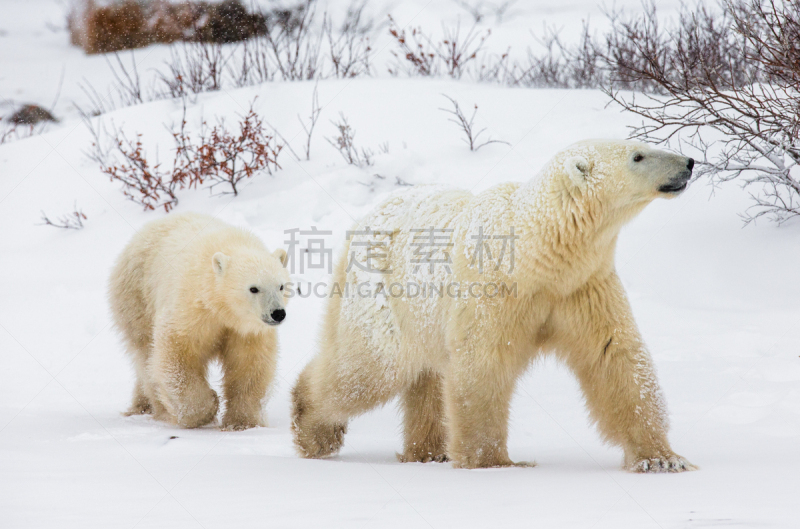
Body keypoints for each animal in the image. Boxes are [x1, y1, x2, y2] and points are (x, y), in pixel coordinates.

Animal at [292, 139, 692, 470]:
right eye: (638, 155)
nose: (688, 162)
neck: (539, 253)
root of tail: (366, 218)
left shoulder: (582, 287)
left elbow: (614, 355)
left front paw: (662, 459)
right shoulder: (495, 288)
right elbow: (484, 363)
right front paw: (493, 462)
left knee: (423, 376)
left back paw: (428, 451)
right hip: (383, 293)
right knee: (368, 368)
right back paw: (313, 428)